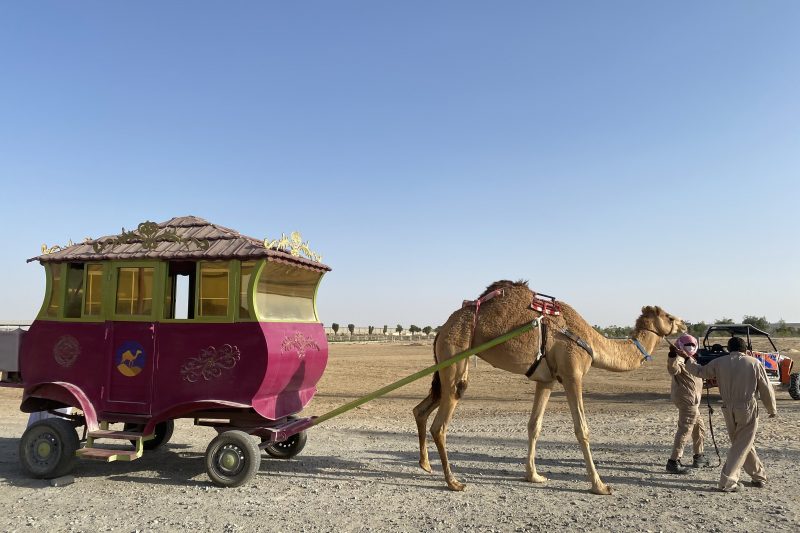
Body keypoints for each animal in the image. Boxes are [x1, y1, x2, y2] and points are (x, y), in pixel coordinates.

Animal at [412, 280, 688, 492]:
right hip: (455, 353)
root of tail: (441, 329)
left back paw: (425, 464)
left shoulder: (546, 381)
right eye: (668, 316)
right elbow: (582, 429)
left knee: (422, 408)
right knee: (440, 425)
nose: (684, 323)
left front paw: (533, 475)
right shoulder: (572, 374)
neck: (590, 342)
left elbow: (534, 426)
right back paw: (453, 482)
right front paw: (600, 485)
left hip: (450, 364)